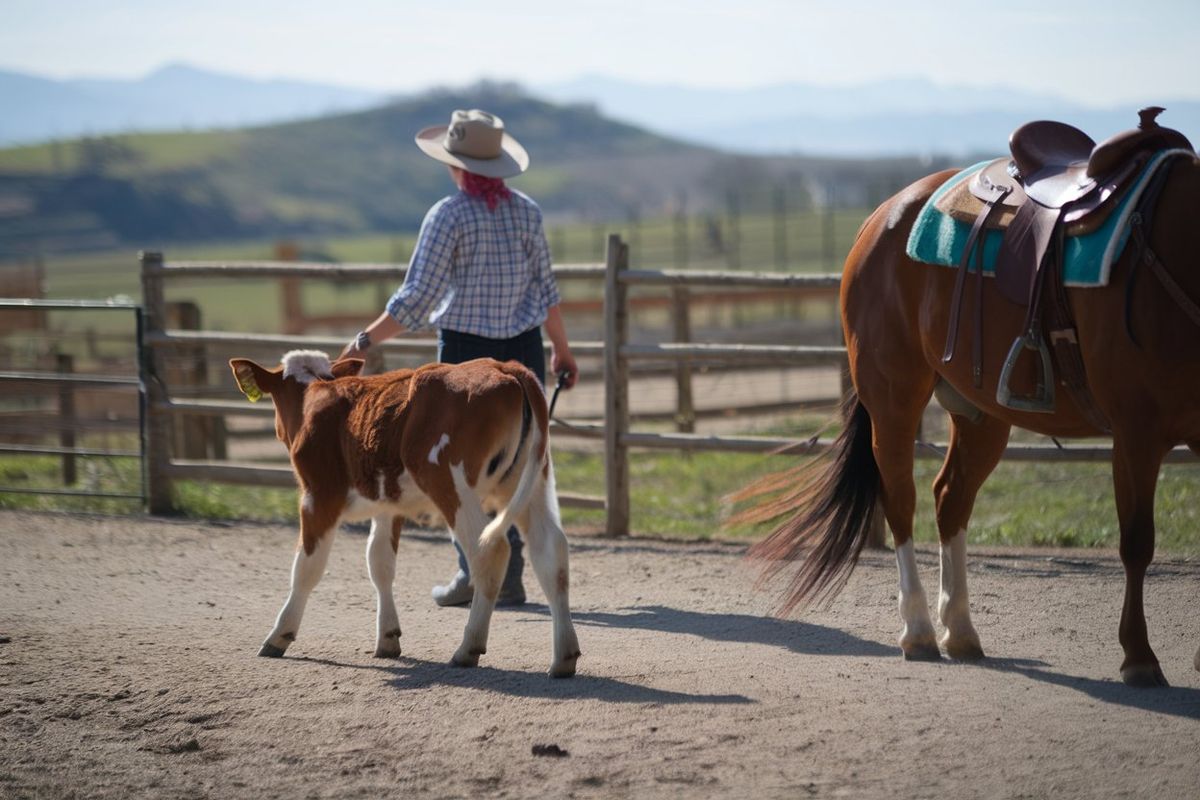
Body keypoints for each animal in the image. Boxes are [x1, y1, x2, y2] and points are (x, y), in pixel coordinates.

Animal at [228, 349, 580, 678]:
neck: (312, 395)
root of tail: (502, 366)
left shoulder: (319, 496)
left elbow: (306, 568)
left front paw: (279, 634)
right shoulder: (388, 505)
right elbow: (380, 563)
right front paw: (387, 637)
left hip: (452, 485)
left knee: (489, 551)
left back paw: (468, 648)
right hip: (528, 484)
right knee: (550, 553)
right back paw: (563, 657)